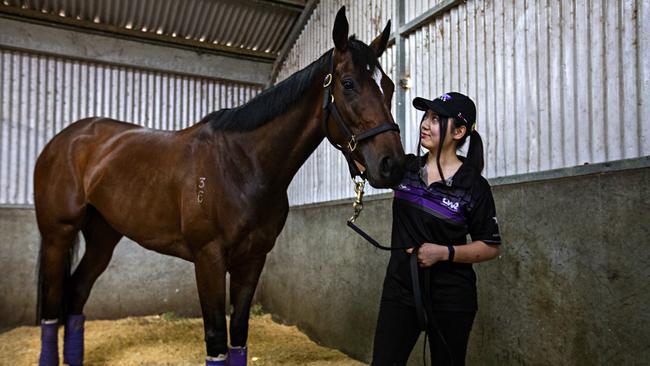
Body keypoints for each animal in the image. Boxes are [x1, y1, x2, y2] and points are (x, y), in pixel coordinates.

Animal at [35, 6, 402, 366]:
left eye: (388, 86)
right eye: (349, 83)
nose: (393, 164)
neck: (243, 165)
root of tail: (64, 140)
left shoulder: (253, 259)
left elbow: (238, 335)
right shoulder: (208, 259)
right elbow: (216, 340)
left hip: (103, 236)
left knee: (76, 294)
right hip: (57, 234)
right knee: (52, 308)